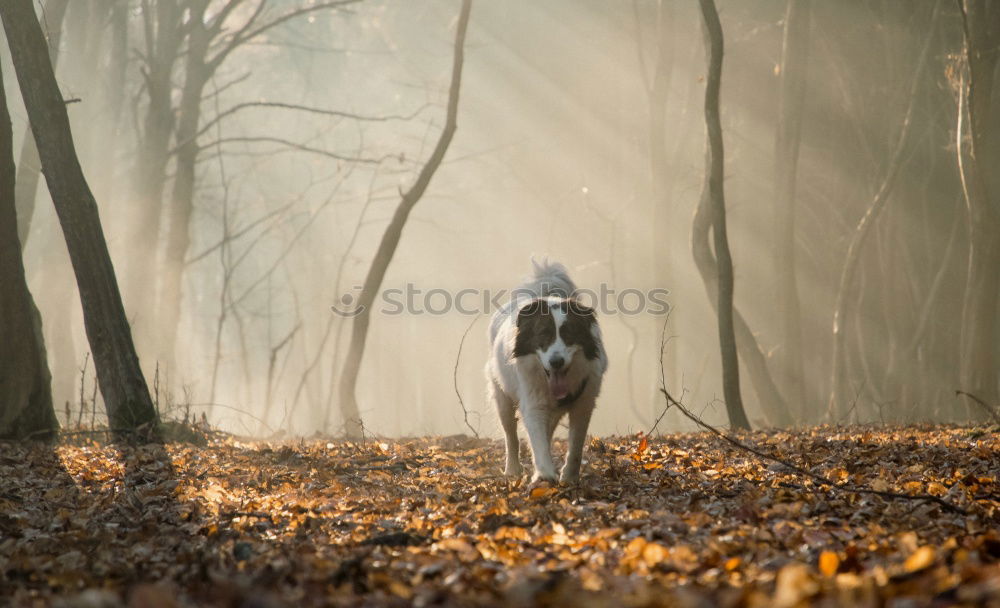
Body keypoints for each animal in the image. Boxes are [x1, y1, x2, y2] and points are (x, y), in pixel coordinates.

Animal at [486, 262, 608, 484]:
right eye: (543, 334)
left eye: (569, 334)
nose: (556, 362)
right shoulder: (533, 400)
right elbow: (536, 439)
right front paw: (545, 475)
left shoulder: (585, 401)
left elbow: (576, 445)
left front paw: (569, 477)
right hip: (501, 396)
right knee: (510, 434)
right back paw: (512, 469)